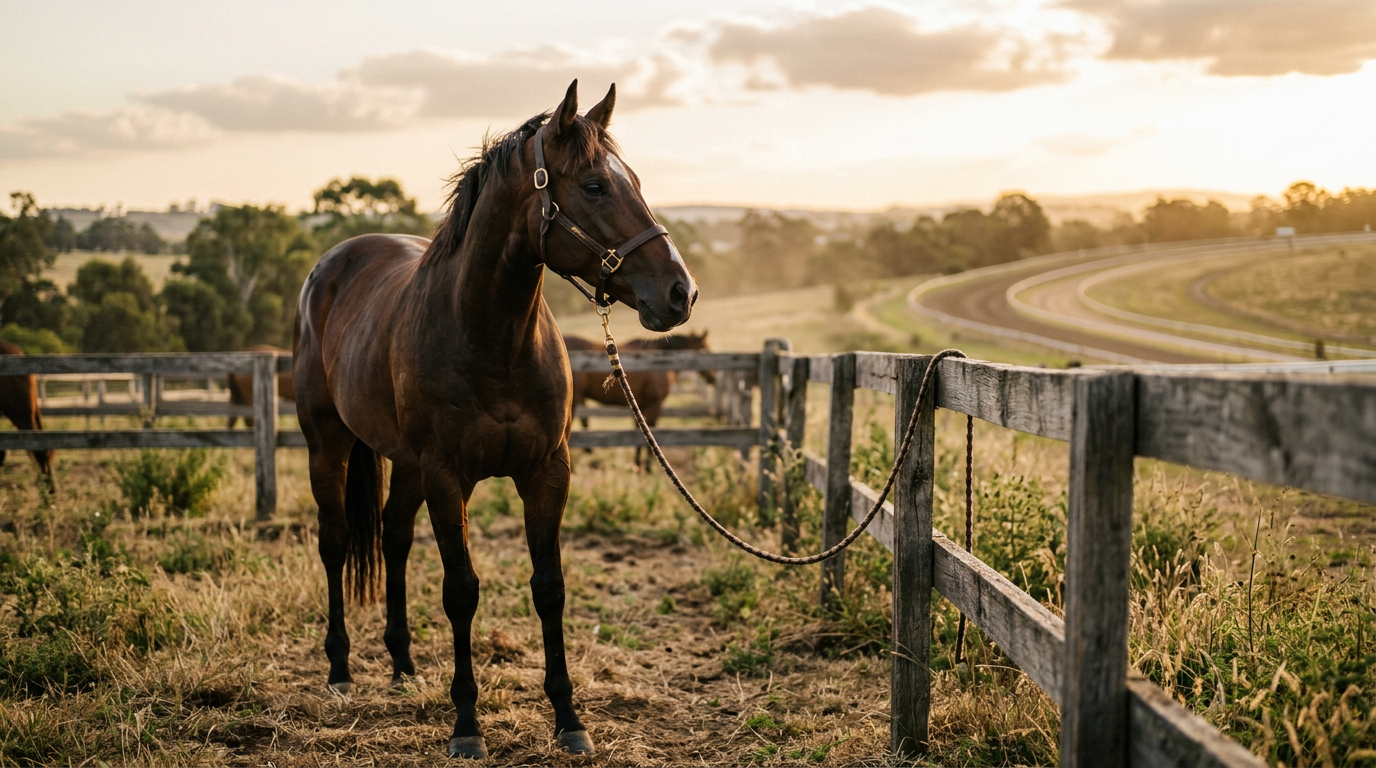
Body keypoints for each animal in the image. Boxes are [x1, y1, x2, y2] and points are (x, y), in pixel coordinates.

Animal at [292, 81, 696, 759]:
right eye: (594, 185)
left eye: (633, 180)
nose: (679, 292)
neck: (493, 339)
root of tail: (332, 266)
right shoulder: (446, 477)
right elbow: (461, 591)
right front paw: (466, 726)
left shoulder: (547, 473)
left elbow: (549, 586)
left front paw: (569, 719)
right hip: (330, 445)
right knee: (337, 542)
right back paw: (341, 671)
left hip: (404, 465)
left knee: (394, 539)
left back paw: (403, 667)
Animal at [564, 331, 712, 468]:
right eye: (705, 348)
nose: (713, 377)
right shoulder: (655, 404)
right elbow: (651, 429)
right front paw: (648, 466)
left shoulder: (641, 404)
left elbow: (640, 431)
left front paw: (637, 464)